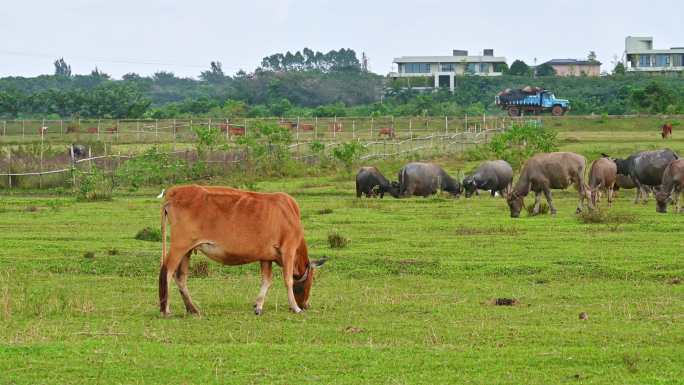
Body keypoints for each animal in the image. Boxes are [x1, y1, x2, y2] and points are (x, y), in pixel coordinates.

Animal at [162, 185, 330, 316]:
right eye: (312, 279)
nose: (306, 305)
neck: (289, 213)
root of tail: (174, 191)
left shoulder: (266, 257)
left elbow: (266, 281)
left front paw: (258, 306)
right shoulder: (288, 249)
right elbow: (287, 280)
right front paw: (295, 308)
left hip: (187, 250)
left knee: (180, 277)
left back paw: (192, 309)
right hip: (179, 246)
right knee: (167, 271)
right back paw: (165, 309)